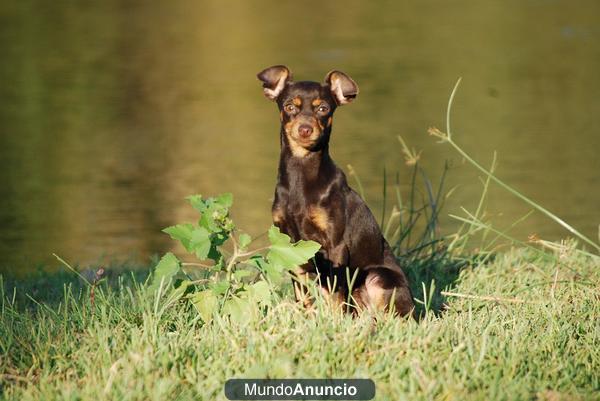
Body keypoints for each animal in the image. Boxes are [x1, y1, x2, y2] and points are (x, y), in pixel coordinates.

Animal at [255, 65, 414, 316]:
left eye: (323, 108)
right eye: (289, 106)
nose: (305, 129)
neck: (301, 173)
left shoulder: (336, 245)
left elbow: (335, 294)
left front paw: (336, 321)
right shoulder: (291, 245)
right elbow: (302, 295)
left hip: (378, 277)